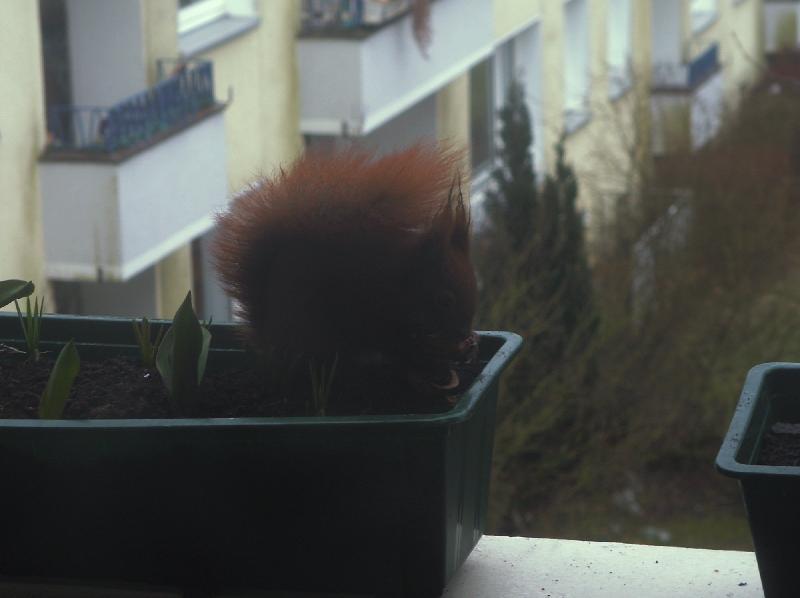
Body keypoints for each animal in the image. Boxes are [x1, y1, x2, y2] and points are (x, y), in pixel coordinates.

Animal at [212, 143, 478, 394]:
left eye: (475, 288)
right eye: (444, 300)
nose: (463, 332)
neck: (401, 279)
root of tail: (271, 351)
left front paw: (468, 346)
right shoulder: (377, 309)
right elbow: (400, 342)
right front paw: (438, 349)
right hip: (318, 336)